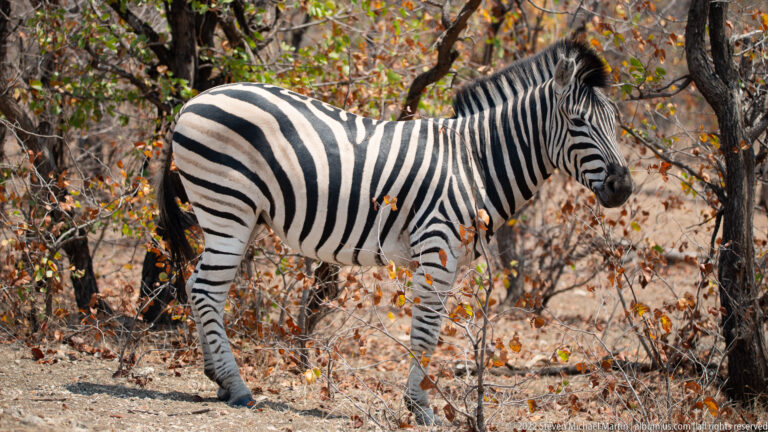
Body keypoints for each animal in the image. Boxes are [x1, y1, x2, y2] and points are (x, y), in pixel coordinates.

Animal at [157, 39, 633, 425]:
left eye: (614, 120)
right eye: (577, 122)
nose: (623, 186)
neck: (474, 161)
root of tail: (193, 100)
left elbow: (431, 330)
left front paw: (419, 403)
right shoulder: (438, 247)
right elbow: (426, 331)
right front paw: (420, 407)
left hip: (240, 215)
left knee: (198, 284)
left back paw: (217, 378)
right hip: (228, 207)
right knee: (206, 290)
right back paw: (238, 387)